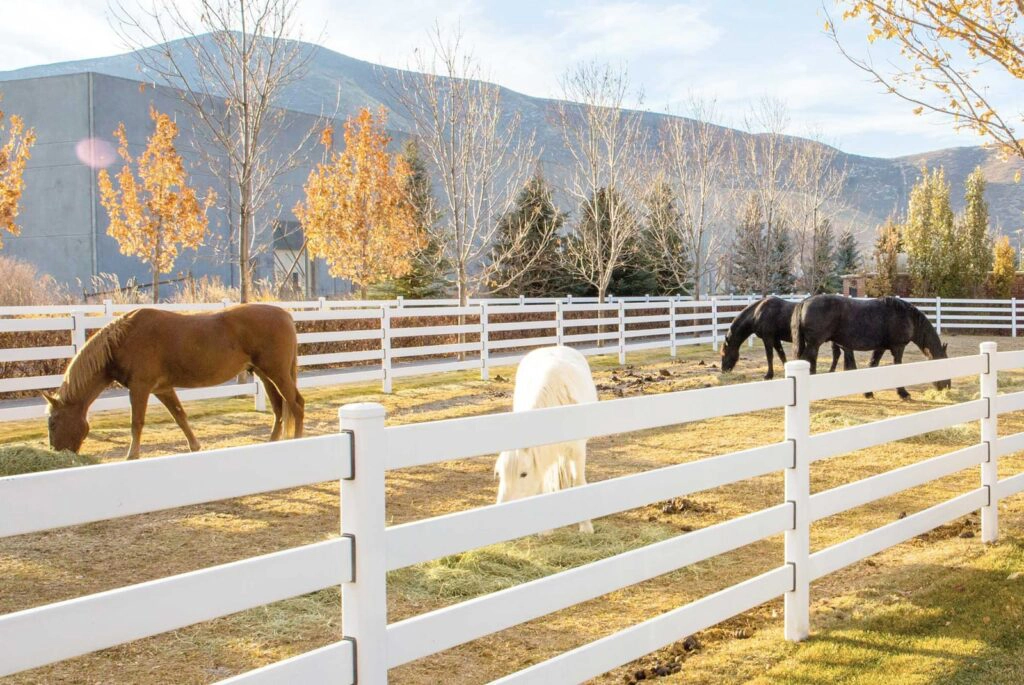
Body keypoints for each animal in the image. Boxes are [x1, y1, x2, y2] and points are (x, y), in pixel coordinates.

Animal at [44, 304, 304, 459]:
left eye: (53, 423)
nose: (56, 451)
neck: (123, 339)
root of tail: (285, 314)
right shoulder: (163, 389)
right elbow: (180, 417)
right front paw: (195, 446)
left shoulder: (140, 388)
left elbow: (136, 423)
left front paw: (131, 456)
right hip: (264, 374)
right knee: (279, 409)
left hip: (277, 373)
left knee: (296, 404)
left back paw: (298, 440)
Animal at [495, 346, 597, 534]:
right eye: (499, 474)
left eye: (523, 474)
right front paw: (545, 530)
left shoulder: (578, 451)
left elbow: (579, 482)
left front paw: (586, 527)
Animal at [720, 296, 853, 379]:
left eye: (724, 354)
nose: (723, 370)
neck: (758, 312)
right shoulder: (775, 339)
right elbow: (781, 355)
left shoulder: (768, 338)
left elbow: (770, 356)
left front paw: (768, 375)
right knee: (838, 354)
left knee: (838, 354)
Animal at [792, 295, 950, 399]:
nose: (947, 386)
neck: (907, 316)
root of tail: (805, 301)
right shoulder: (898, 347)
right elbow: (897, 367)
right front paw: (903, 393)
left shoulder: (880, 348)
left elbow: (873, 364)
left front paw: (868, 392)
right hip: (814, 344)